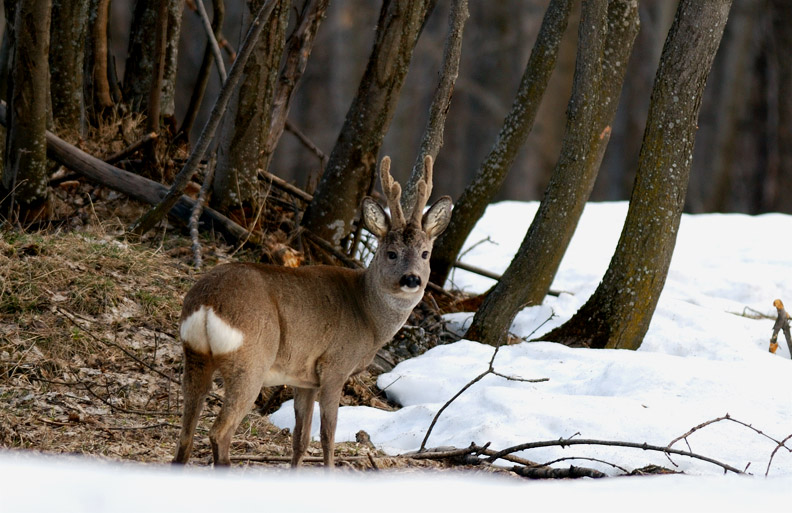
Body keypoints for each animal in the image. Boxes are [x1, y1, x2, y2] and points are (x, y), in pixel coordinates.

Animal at [173, 154, 452, 466]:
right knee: (219, 431)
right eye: (391, 253)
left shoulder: (304, 378)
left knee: (185, 433)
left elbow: (301, 438)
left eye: (425, 253)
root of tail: (207, 303)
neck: (368, 315)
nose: (412, 279)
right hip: (250, 360)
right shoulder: (334, 366)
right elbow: (327, 435)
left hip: (195, 355)